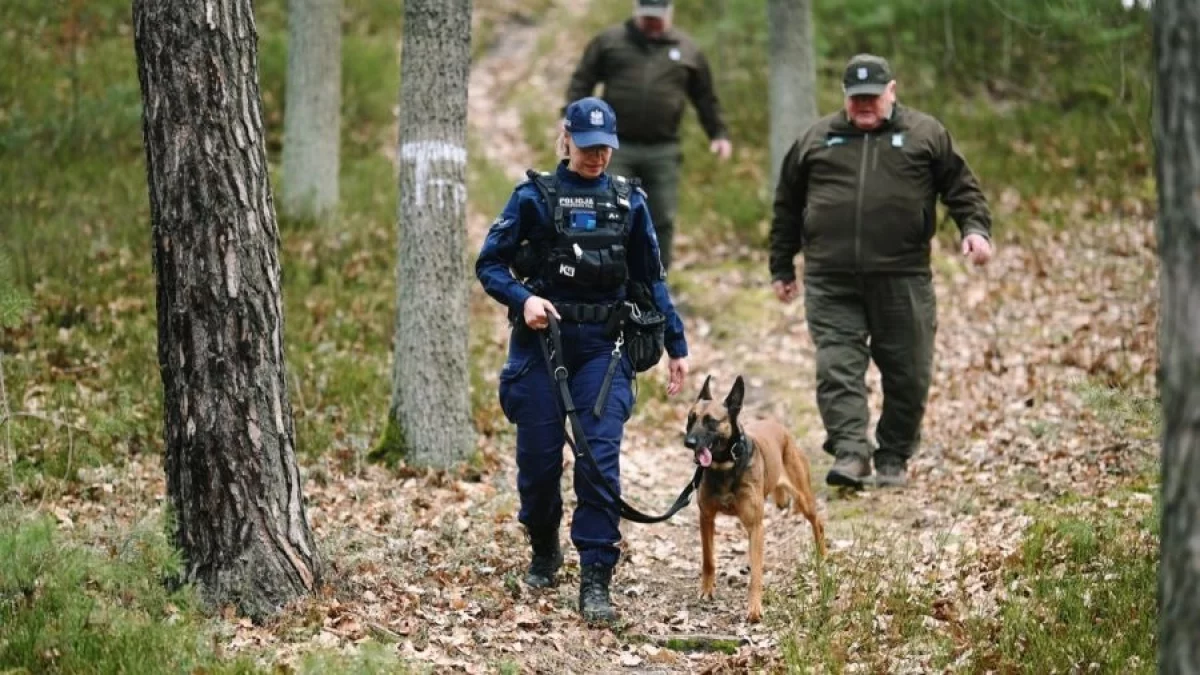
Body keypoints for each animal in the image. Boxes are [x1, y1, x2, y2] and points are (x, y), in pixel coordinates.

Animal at [686, 372, 825, 619]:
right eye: (690, 419)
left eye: (711, 421)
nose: (688, 442)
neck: (726, 464)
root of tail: (781, 429)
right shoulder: (706, 518)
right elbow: (708, 560)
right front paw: (706, 590)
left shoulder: (755, 527)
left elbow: (756, 574)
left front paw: (754, 607)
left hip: (804, 499)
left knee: (818, 522)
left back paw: (823, 556)